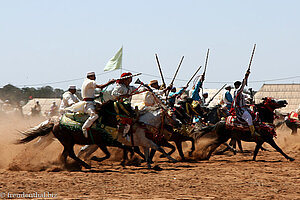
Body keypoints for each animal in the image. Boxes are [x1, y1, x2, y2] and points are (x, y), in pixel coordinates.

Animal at [17, 100, 177, 169]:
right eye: (171, 115)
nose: (178, 124)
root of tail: (55, 121)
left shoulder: (142, 142)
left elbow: (147, 150)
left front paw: (148, 162)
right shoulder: (107, 142)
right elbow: (157, 148)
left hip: (71, 142)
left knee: (69, 154)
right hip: (69, 141)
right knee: (72, 153)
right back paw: (82, 164)